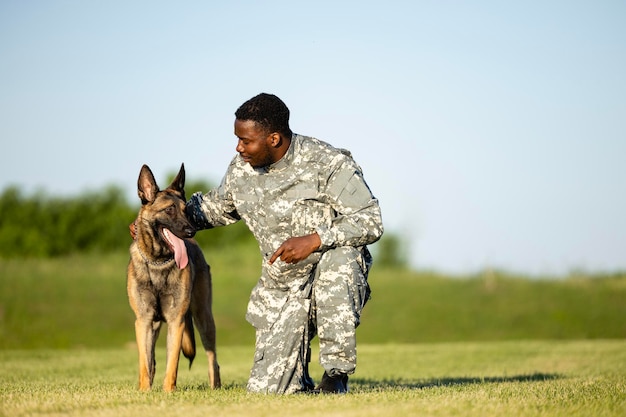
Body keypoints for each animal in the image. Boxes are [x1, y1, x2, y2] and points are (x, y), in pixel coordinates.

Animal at [125, 162, 221, 390]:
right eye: (169, 209)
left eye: (187, 211)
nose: (191, 231)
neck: (158, 262)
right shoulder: (144, 321)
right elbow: (145, 363)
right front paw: (145, 391)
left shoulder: (176, 321)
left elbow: (172, 365)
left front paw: (169, 392)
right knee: (151, 361)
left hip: (204, 318)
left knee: (212, 359)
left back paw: (215, 387)